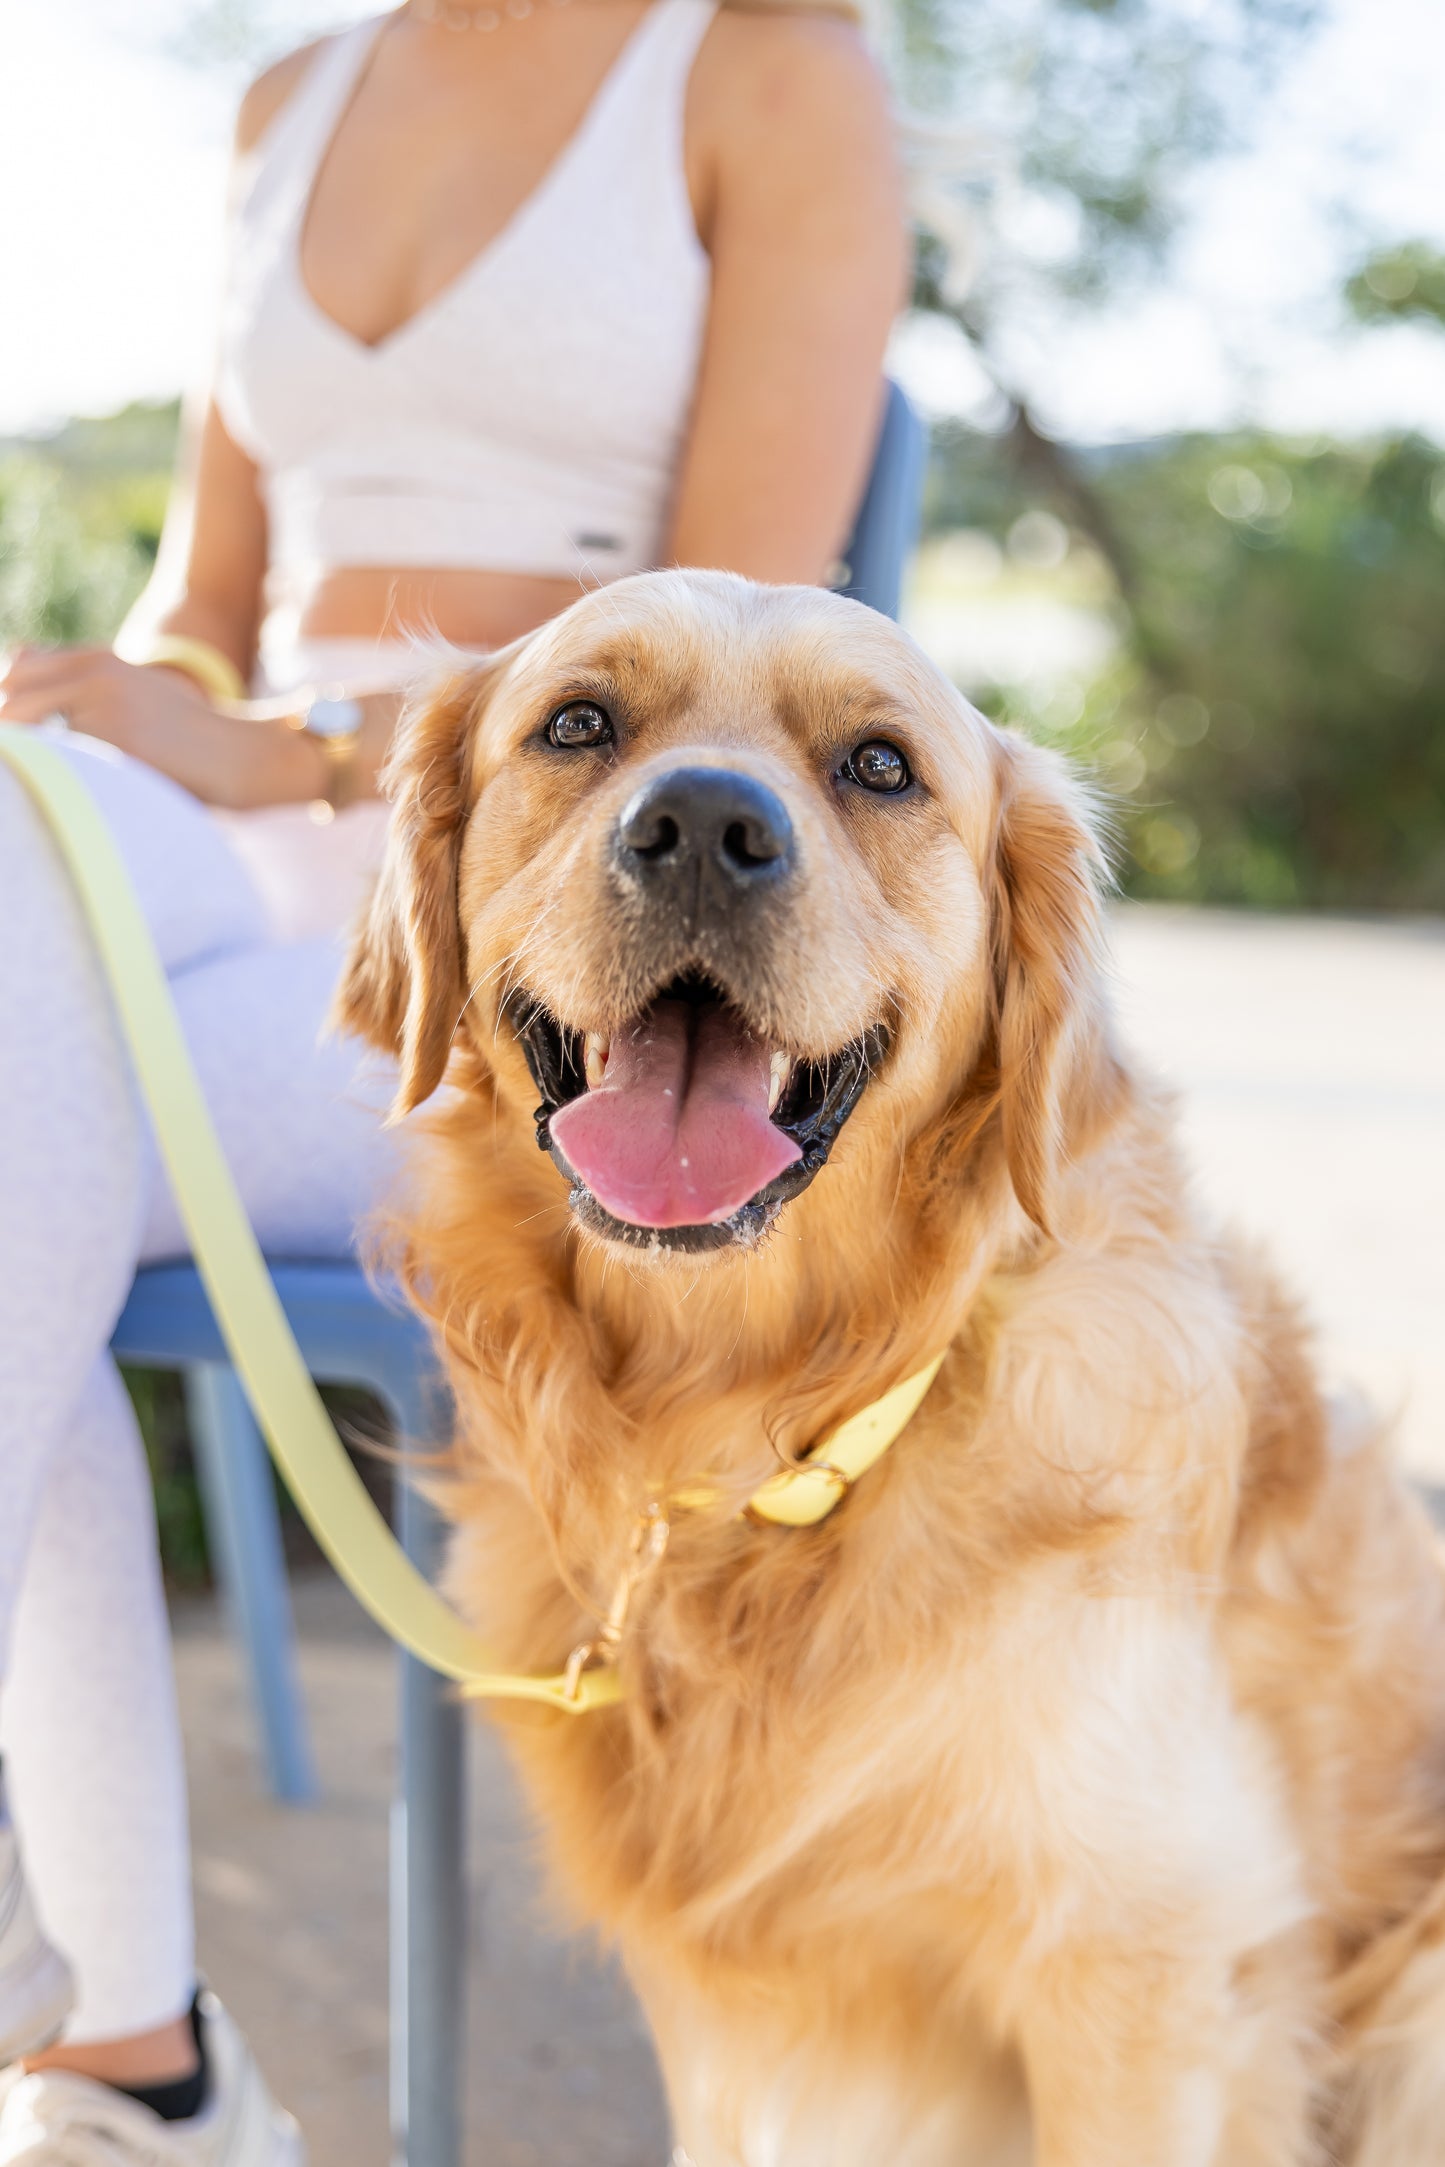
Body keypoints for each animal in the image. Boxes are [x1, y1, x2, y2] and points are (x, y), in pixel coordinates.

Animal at [335, 572, 1445, 2167]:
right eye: (578, 724)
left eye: (878, 765)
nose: (703, 827)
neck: (764, 1442)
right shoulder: (727, 2013)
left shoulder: (1146, 1970)